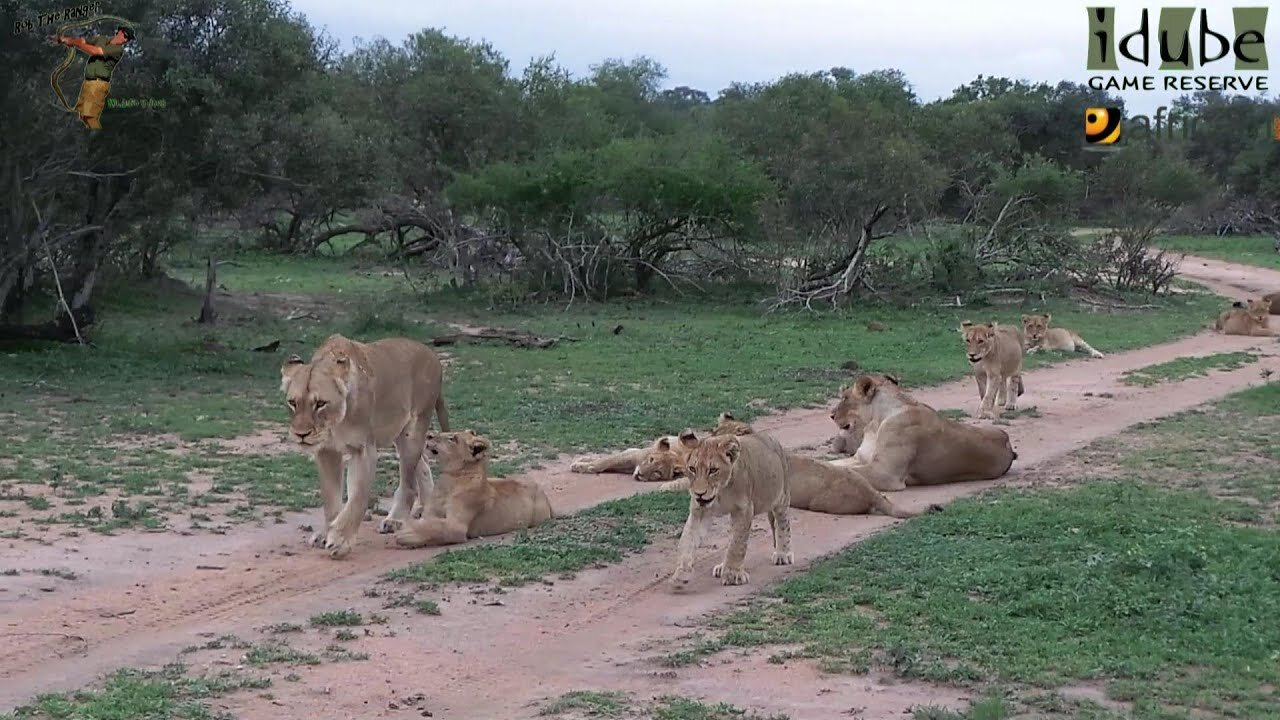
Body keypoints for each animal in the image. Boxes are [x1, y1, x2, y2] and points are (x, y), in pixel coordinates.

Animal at [277, 333, 448, 558]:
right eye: (293, 403)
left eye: (320, 403)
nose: (301, 434)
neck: (336, 423)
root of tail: (432, 354)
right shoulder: (327, 451)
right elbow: (330, 499)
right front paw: (326, 533)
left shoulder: (363, 450)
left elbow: (357, 499)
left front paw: (340, 540)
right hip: (400, 433)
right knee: (423, 463)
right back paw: (426, 509)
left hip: (414, 428)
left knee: (409, 482)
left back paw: (395, 519)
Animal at [389, 425, 550, 543]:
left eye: (452, 439)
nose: (428, 435)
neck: (449, 480)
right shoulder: (430, 514)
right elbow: (428, 522)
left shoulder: (456, 526)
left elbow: (435, 527)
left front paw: (405, 533)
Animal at [670, 427, 788, 586]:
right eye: (692, 469)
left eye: (713, 470)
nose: (699, 493)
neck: (721, 491)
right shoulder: (699, 510)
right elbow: (687, 540)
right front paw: (681, 573)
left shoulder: (744, 509)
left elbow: (737, 543)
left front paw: (732, 575)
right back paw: (721, 567)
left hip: (781, 497)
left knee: (783, 523)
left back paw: (783, 554)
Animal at [829, 371, 1018, 489]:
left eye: (844, 398)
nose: (831, 415)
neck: (873, 425)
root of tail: (1009, 446)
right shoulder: (860, 459)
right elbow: (835, 464)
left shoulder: (885, 473)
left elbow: (848, 471)